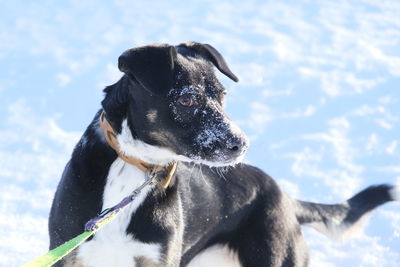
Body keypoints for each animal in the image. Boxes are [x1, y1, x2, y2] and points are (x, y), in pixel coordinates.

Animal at [48, 42, 398, 267]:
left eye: (222, 95)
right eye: (187, 99)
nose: (241, 144)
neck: (135, 167)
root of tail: (283, 196)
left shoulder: (157, 259)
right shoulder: (68, 255)